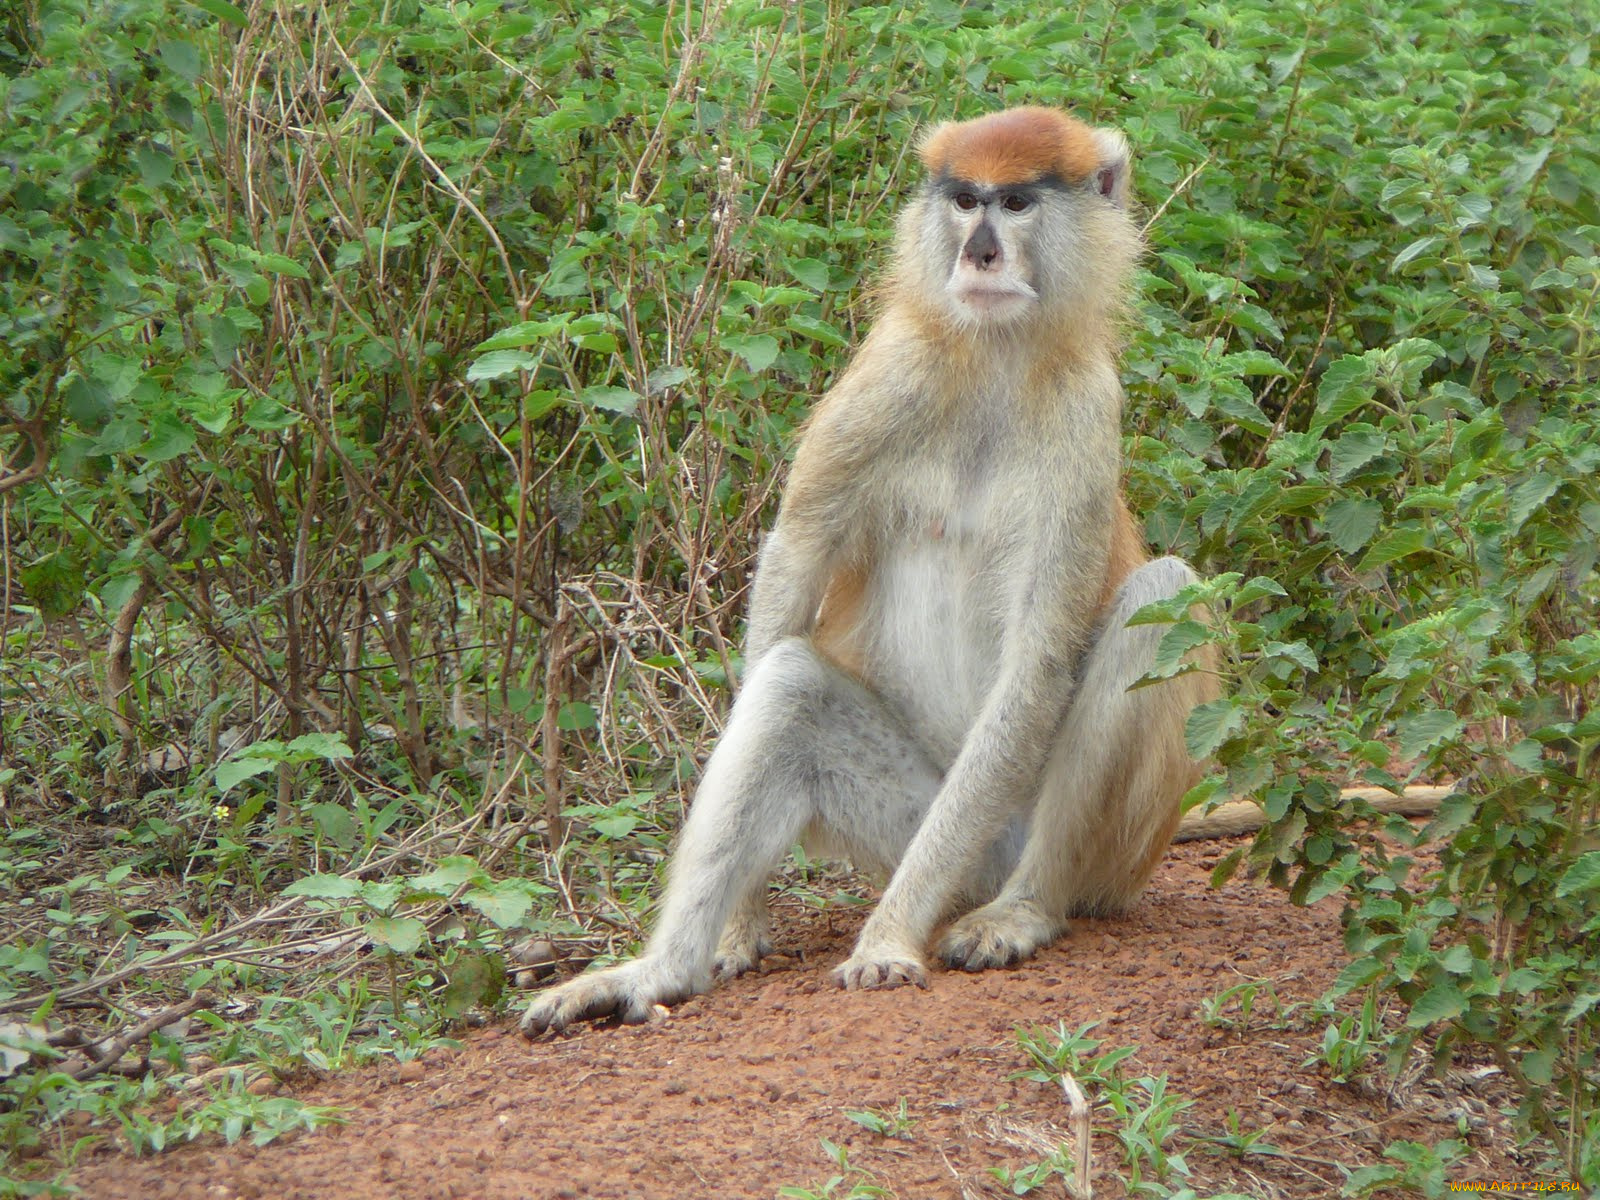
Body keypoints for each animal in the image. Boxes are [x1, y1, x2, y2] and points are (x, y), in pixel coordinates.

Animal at [521, 108, 1209, 1036]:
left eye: (1018, 204)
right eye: (965, 200)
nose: (979, 254)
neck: (993, 354)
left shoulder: (1087, 413)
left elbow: (1038, 662)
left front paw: (887, 939)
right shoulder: (889, 373)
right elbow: (793, 573)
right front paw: (739, 924)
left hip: (1088, 852)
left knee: (1162, 597)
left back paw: (1022, 907)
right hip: (918, 828)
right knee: (790, 689)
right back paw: (659, 972)